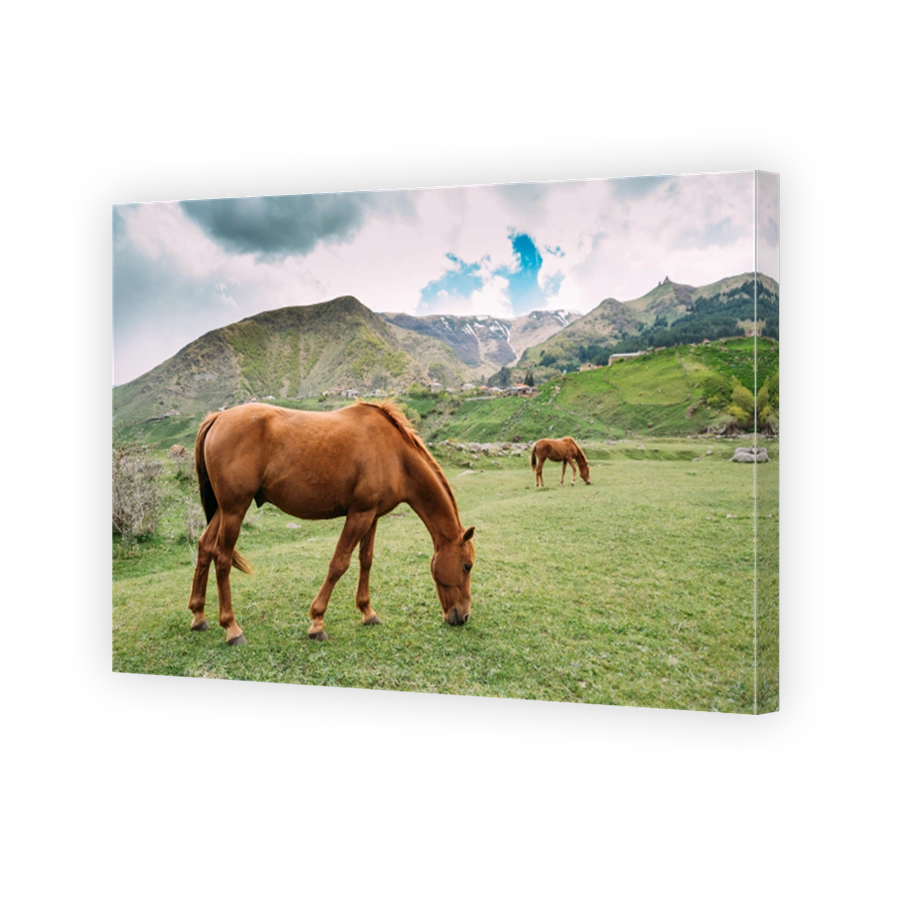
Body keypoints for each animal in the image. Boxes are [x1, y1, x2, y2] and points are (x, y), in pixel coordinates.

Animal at [187, 401, 476, 644]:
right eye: (467, 566)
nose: (462, 616)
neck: (395, 455)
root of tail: (218, 417)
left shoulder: (371, 515)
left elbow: (366, 560)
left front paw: (368, 612)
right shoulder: (358, 514)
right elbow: (339, 564)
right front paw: (317, 622)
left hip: (224, 511)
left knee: (205, 548)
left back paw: (199, 616)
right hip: (234, 510)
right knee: (222, 559)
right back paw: (232, 628)